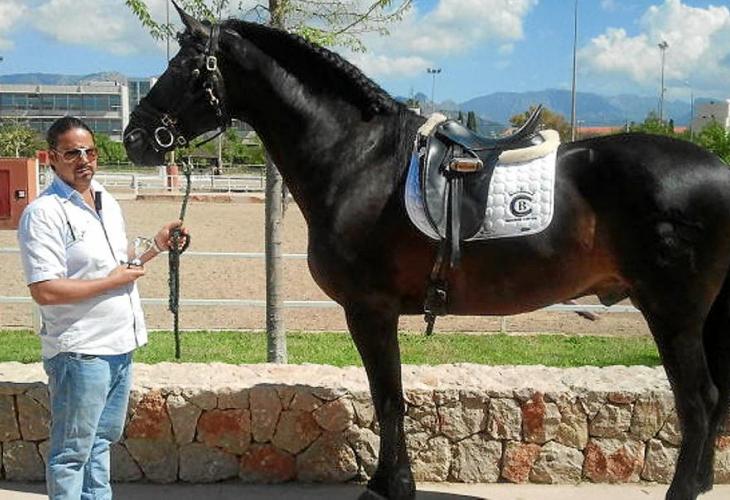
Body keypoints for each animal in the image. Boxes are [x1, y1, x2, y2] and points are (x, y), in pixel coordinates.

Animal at [123, 7, 730, 500]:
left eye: (185, 67)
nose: (134, 137)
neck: (359, 158)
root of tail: (719, 168)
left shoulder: (370, 309)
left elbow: (389, 397)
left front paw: (392, 485)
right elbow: (386, 396)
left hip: (672, 313)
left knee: (699, 402)